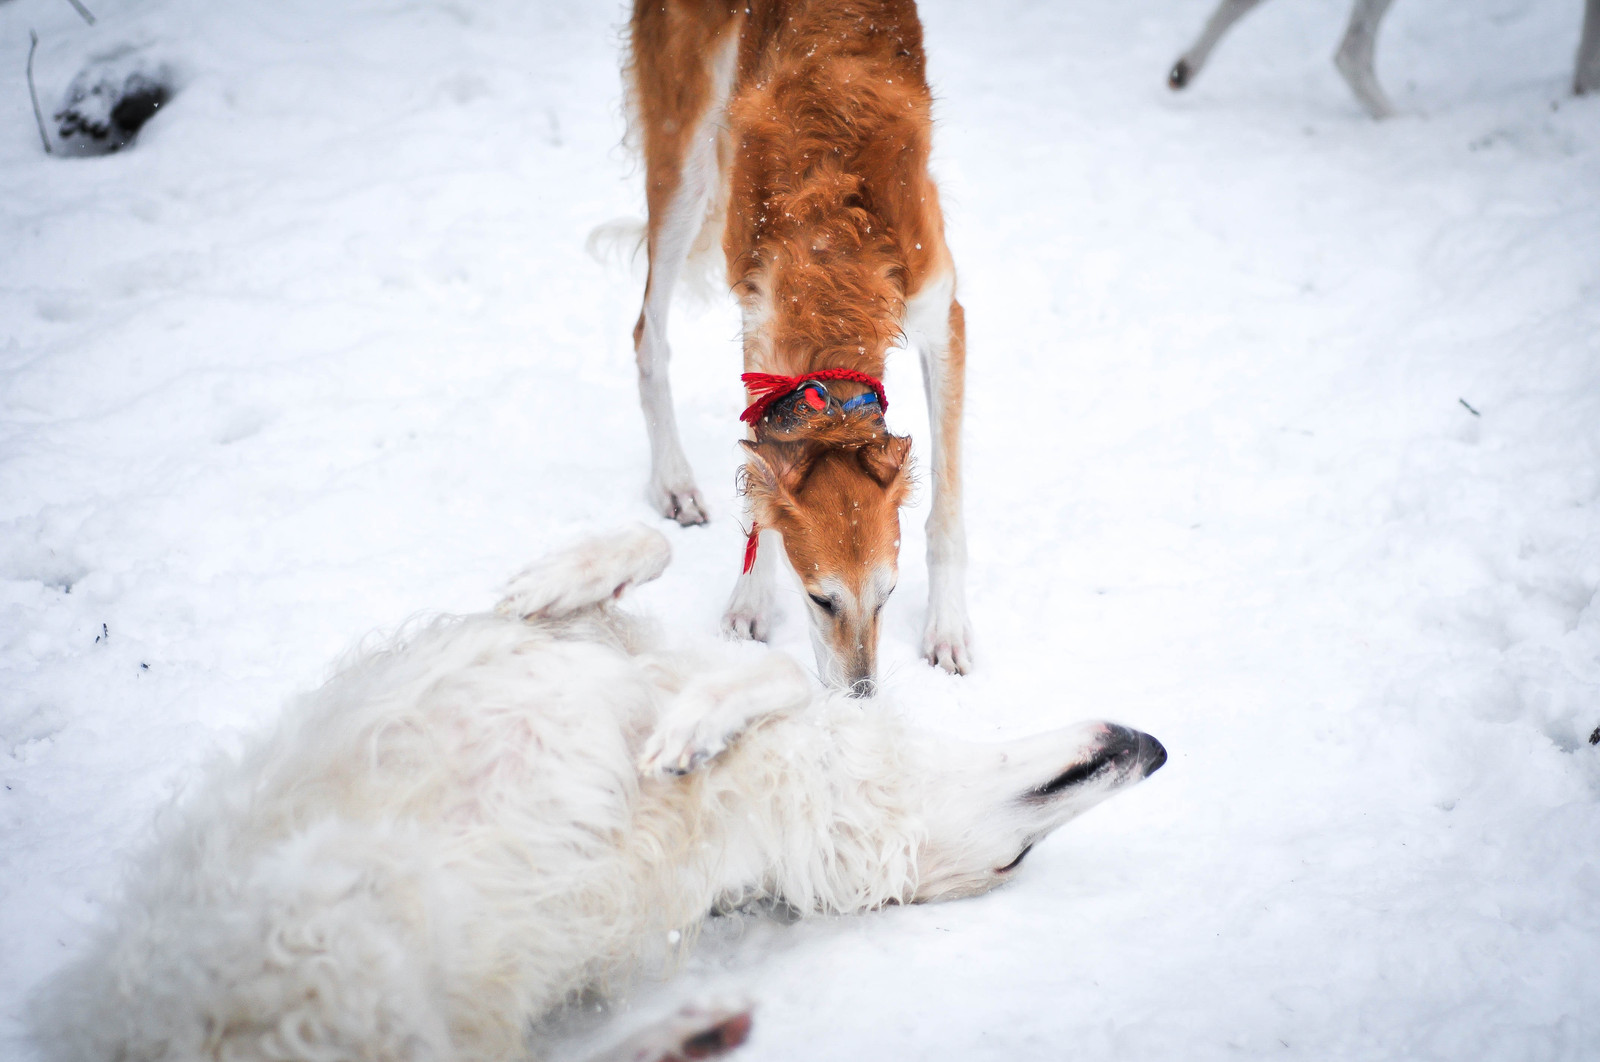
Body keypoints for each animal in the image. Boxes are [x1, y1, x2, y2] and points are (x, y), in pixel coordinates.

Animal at [34, 524, 1164, 1062]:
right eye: (1018, 858)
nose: (1154, 747)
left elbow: (773, 675)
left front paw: (691, 724)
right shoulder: (566, 641)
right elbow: (647, 561)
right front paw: (561, 589)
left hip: (354, 949)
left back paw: (692, 1035)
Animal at [627, 0, 972, 694]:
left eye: (889, 595)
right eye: (820, 599)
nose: (861, 700)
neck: (833, 244)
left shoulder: (942, 316)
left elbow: (945, 511)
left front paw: (947, 630)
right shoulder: (762, 326)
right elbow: (758, 487)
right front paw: (750, 603)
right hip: (685, 150)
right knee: (647, 334)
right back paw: (673, 482)